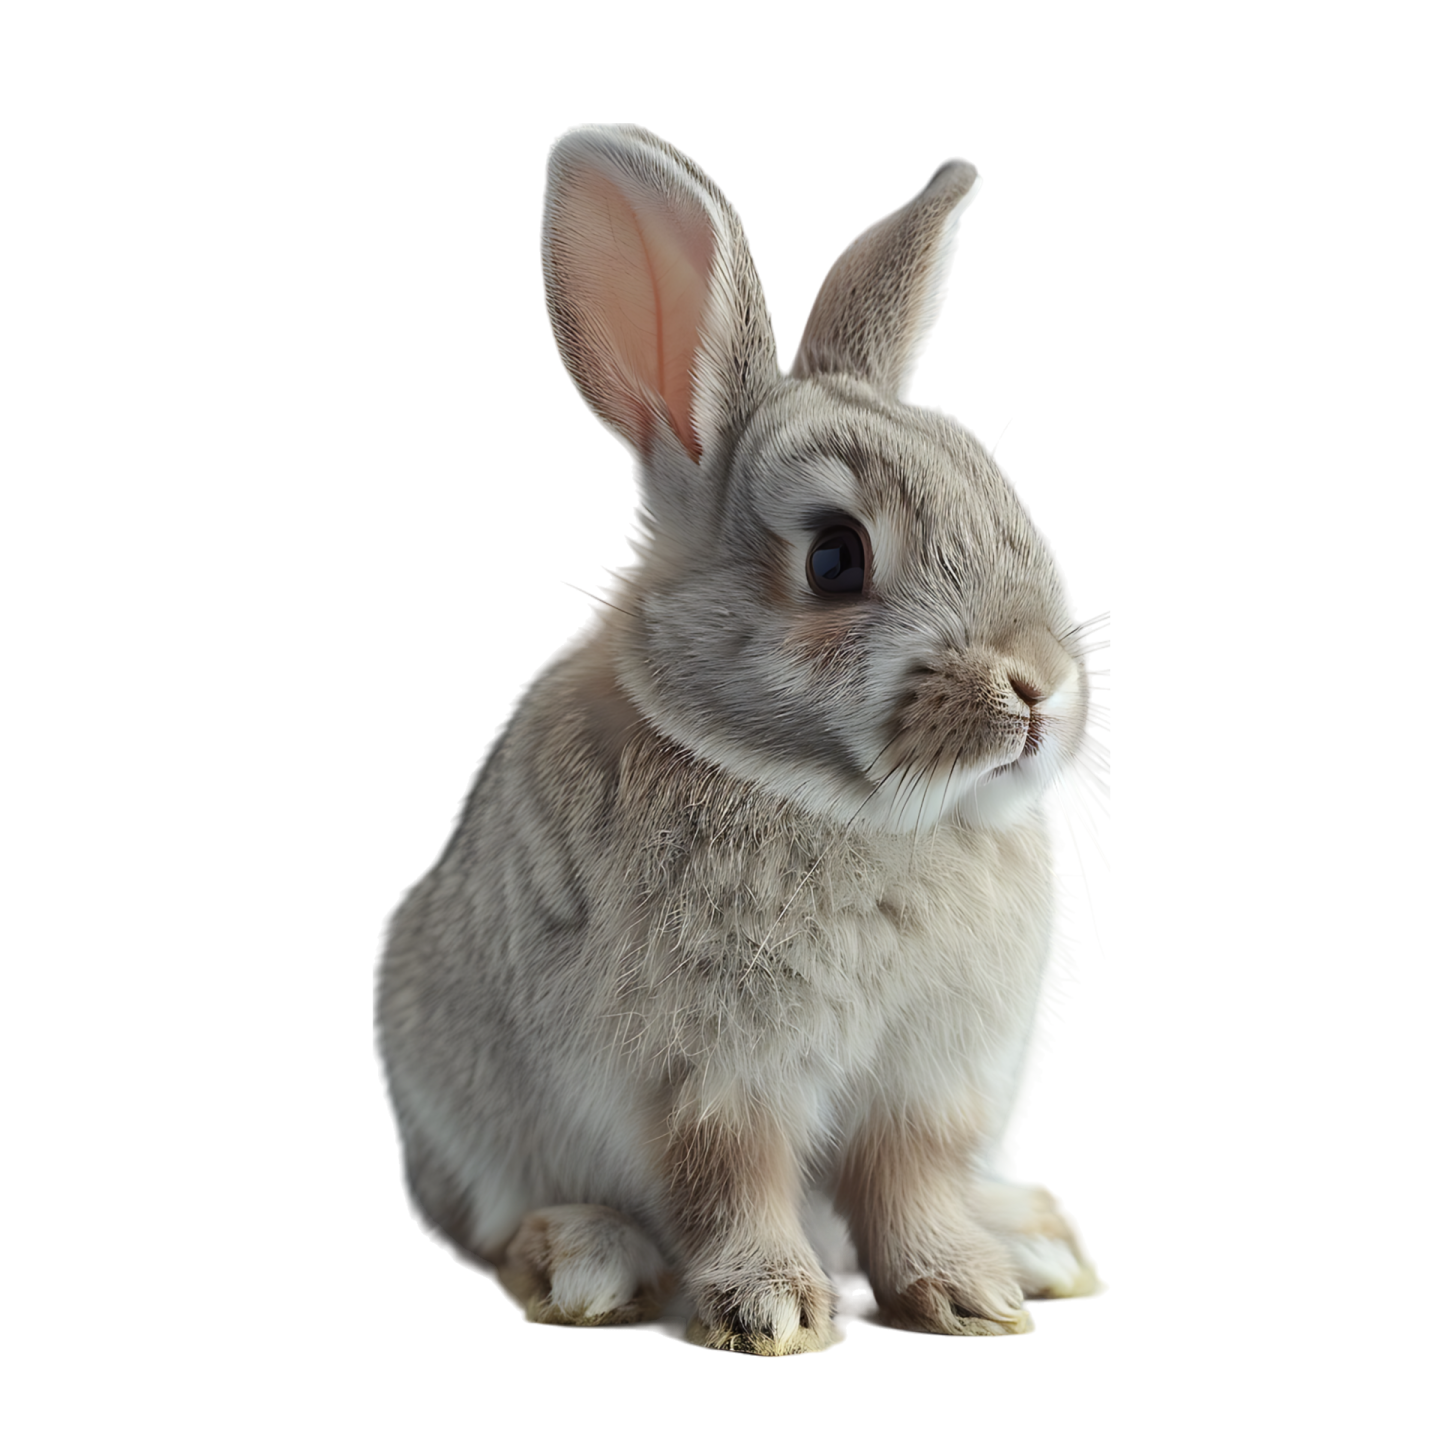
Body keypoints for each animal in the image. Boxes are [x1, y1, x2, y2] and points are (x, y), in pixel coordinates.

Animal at [372, 123, 1111, 1356]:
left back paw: (1032, 1241)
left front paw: (966, 1295)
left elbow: (910, 1187)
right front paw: (773, 1312)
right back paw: (582, 1261)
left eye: (1000, 495)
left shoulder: (925, 1087)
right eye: (835, 559)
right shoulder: (706, 1076)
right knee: (491, 1229)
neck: (841, 806)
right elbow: (729, 1183)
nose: (1041, 691)